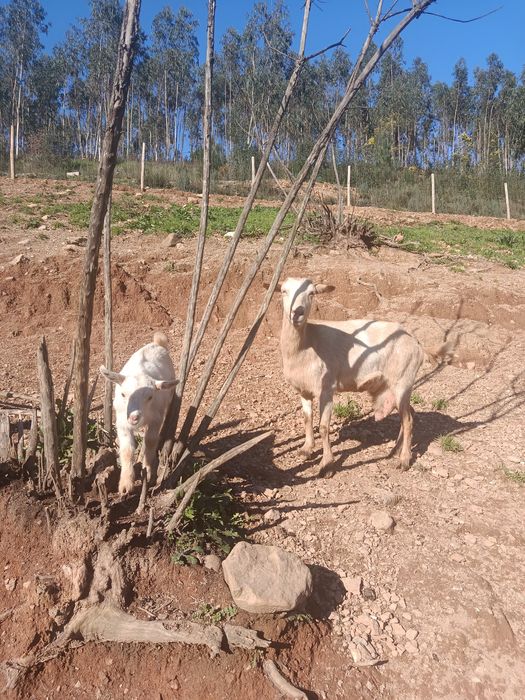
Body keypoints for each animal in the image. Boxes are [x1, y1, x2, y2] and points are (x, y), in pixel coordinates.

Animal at [100, 332, 178, 495]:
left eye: (150, 397)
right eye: (123, 394)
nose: (134, 417)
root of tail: (157, 343)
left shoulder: (156, 419)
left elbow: (150, 441)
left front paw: (147, 470)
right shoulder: (122, 422)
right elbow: (127, 450)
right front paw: (125, 485)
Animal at [279, 277, 428, 475]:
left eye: (312, 293)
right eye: (283, 291)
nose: (298, 312)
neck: (307, 342)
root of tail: (416, 342)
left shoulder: (327, 388)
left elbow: (323, 427)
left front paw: (326, 465)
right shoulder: (303, 389)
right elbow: (307, 419)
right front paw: (306, 449)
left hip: (402, 382)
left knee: (408, 420)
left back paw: (403, 460)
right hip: (399, 387)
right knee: (409, 415)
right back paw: (395, 450)